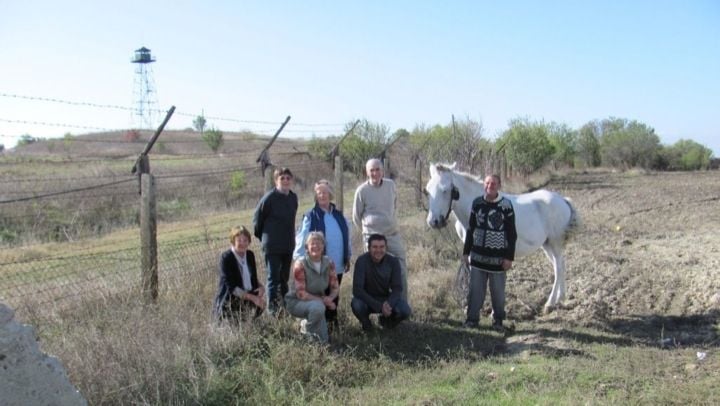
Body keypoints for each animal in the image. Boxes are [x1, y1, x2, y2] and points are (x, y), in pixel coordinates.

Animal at [424, 162, 584, 310]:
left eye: (445, 190)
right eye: (428, 190)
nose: (434, 221)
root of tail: (563, 200)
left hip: (555, 243)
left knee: (559, 267)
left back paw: (550, 303)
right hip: (547, 244)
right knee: (560, 265)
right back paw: (560, 298)